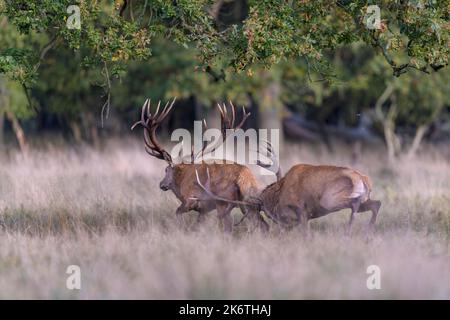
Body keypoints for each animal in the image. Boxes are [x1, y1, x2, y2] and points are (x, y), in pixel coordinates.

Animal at [132, 99, 276, 231]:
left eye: (166, 170)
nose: (161, 184)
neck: (181, 180)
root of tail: (245, 177)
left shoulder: (191, 199)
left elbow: (178, 213)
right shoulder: (203, 210)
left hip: (223, 201)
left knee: (229, 226)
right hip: (247, 202)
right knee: (263, 224)